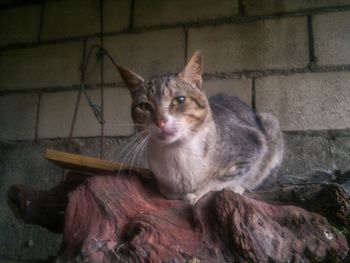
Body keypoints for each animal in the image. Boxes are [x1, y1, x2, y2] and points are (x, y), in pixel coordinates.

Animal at [116, 50, 284, 205]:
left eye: (179, 100)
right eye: (144, 106)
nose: (160, 121)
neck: (177, 153)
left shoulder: (252, 145)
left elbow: (222, 179)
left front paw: (197, 193)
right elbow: (167, 191)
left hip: (271, 124)